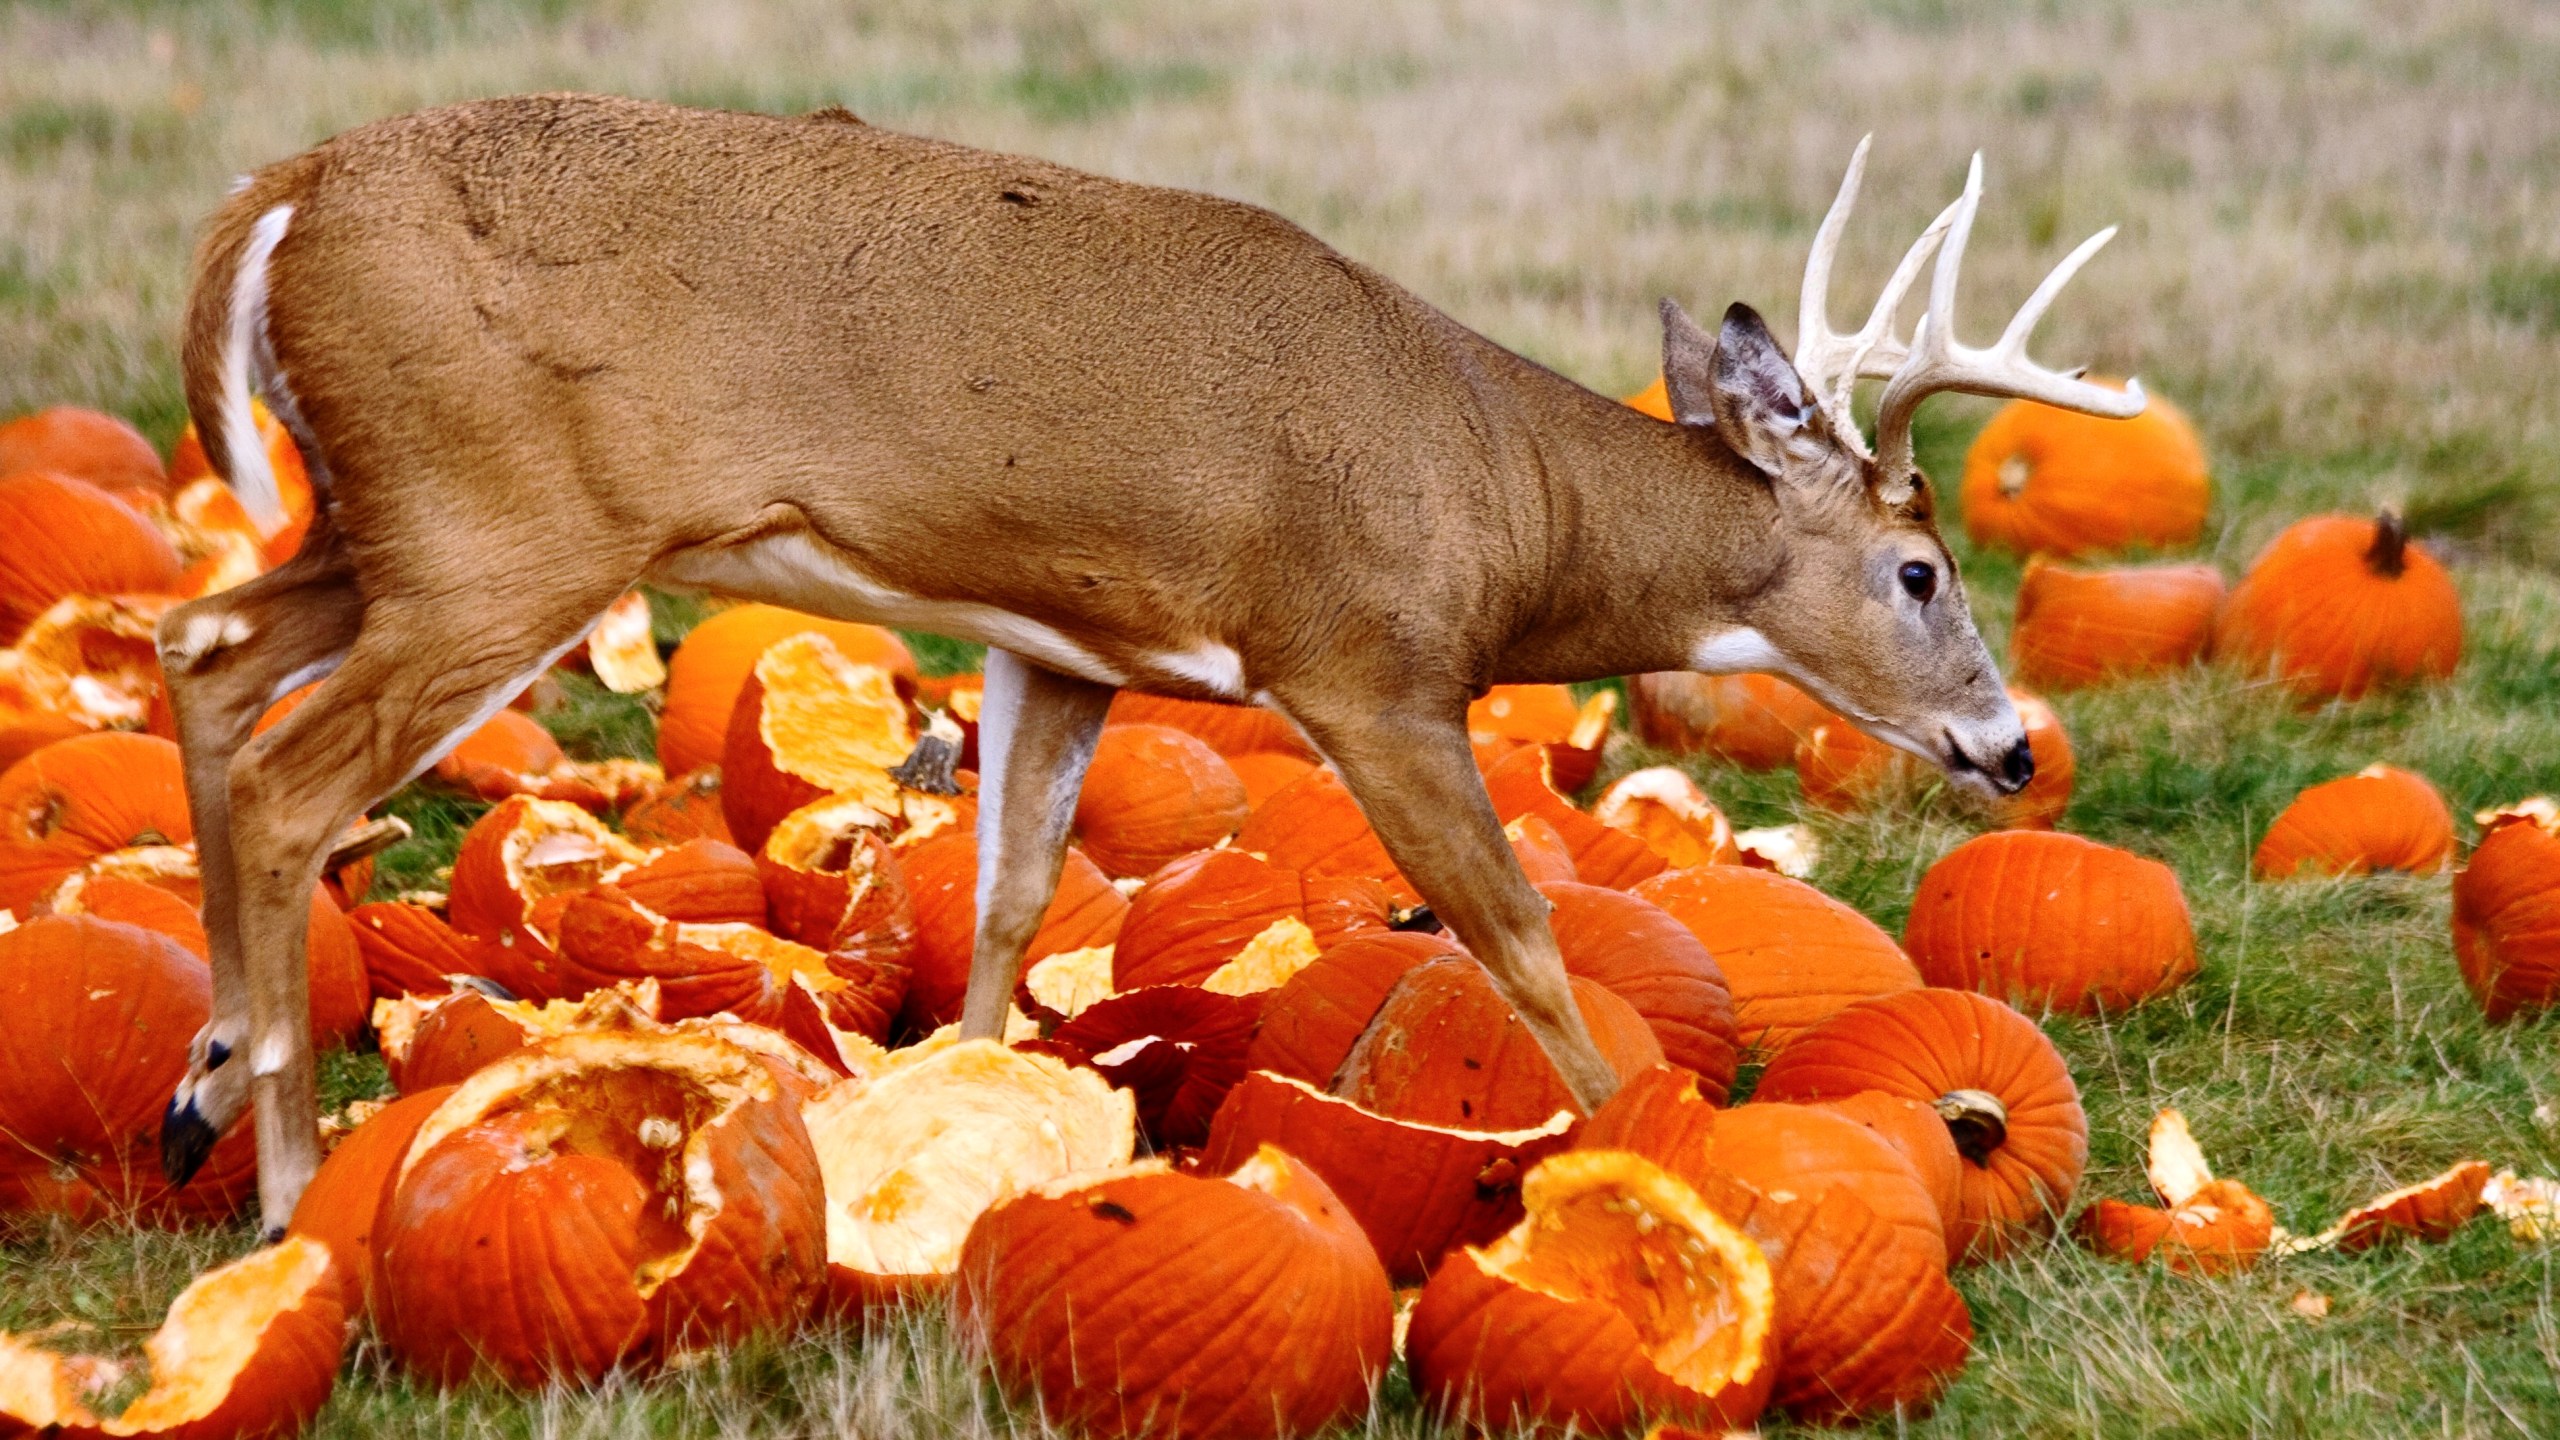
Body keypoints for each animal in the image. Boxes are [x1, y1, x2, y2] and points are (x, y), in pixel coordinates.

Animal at [154, 95, 2140, 1229]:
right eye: (1918, 567)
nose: (2009, 749)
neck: (1499, 499)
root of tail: (283, 189)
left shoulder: (1069, 645)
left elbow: (1010, 896)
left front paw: (960, 1132)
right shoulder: (1365, 663)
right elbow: (1516, 931)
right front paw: (1638, 1143)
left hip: (386, 528)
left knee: (200, 643)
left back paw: (197, 1093)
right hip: (501, 534)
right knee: (285, 771)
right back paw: (282, 1187)